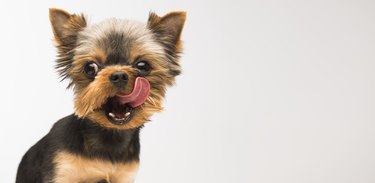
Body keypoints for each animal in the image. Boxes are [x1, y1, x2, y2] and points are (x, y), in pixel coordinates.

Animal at [16, 8, 187, 183]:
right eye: (90, 67)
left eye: (143, 66)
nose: (119, 75)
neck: (110, 135)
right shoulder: (62, 171)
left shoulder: (123, 176)